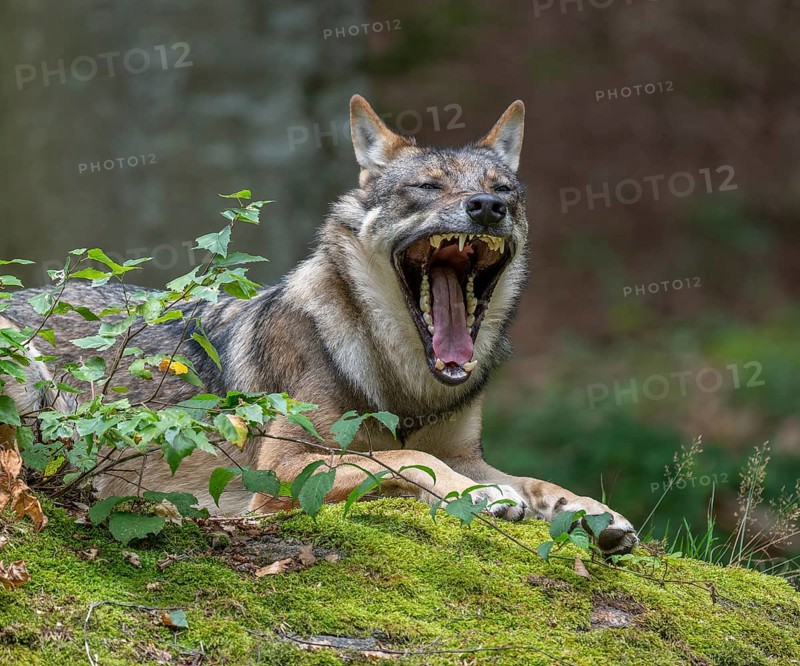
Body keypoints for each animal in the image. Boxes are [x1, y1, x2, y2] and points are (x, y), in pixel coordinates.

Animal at [3, 96, 637, 554]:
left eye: (504, 191)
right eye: (428, 187)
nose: (487, 208)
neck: (404, 384)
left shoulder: (467, 451)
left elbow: (534, 480)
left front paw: (590, 510)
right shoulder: (287, 469)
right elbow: (404, 461)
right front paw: (480, 497)